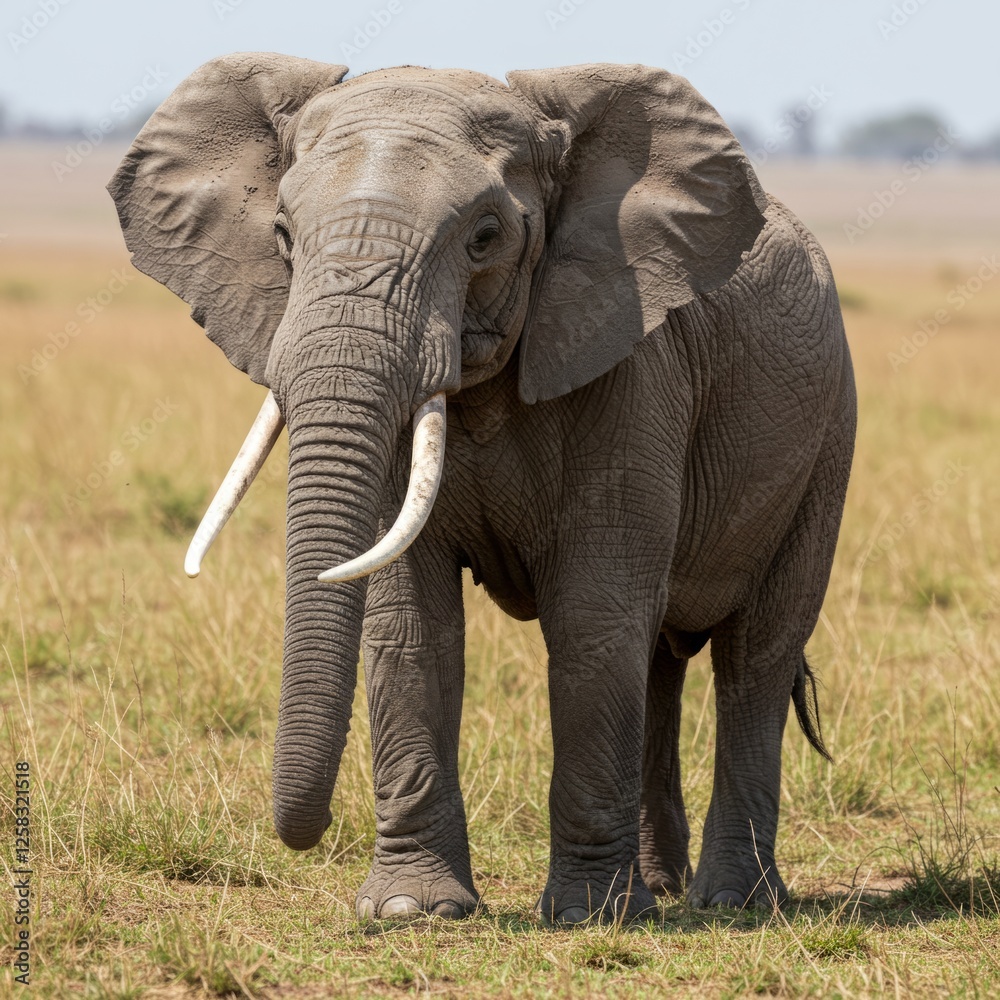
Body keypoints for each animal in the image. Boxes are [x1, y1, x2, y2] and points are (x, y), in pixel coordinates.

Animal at [108, 53, 856, 925]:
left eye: (485, 237)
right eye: (285, 236)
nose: (300, 834)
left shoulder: (632, 365)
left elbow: (593, 617)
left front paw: (584, 917)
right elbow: (410, 622)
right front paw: (411, 911)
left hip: (828, 439)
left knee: (755, 657)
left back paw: (731, 902)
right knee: (660, 663)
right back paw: (661, 890)